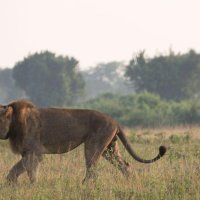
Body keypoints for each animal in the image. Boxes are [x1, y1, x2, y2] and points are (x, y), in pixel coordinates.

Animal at [0, 100, 166, 184]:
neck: (13, 121)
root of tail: (115, 121)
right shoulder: (28, 153)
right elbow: (27, 172)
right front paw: (27, 186)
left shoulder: (34, 152)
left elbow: (16, 170)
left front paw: (14, 185)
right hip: (110, 149)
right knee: (125, 165)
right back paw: (130, 183)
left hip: (93, 146)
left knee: (92, 169)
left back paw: (84, 186)